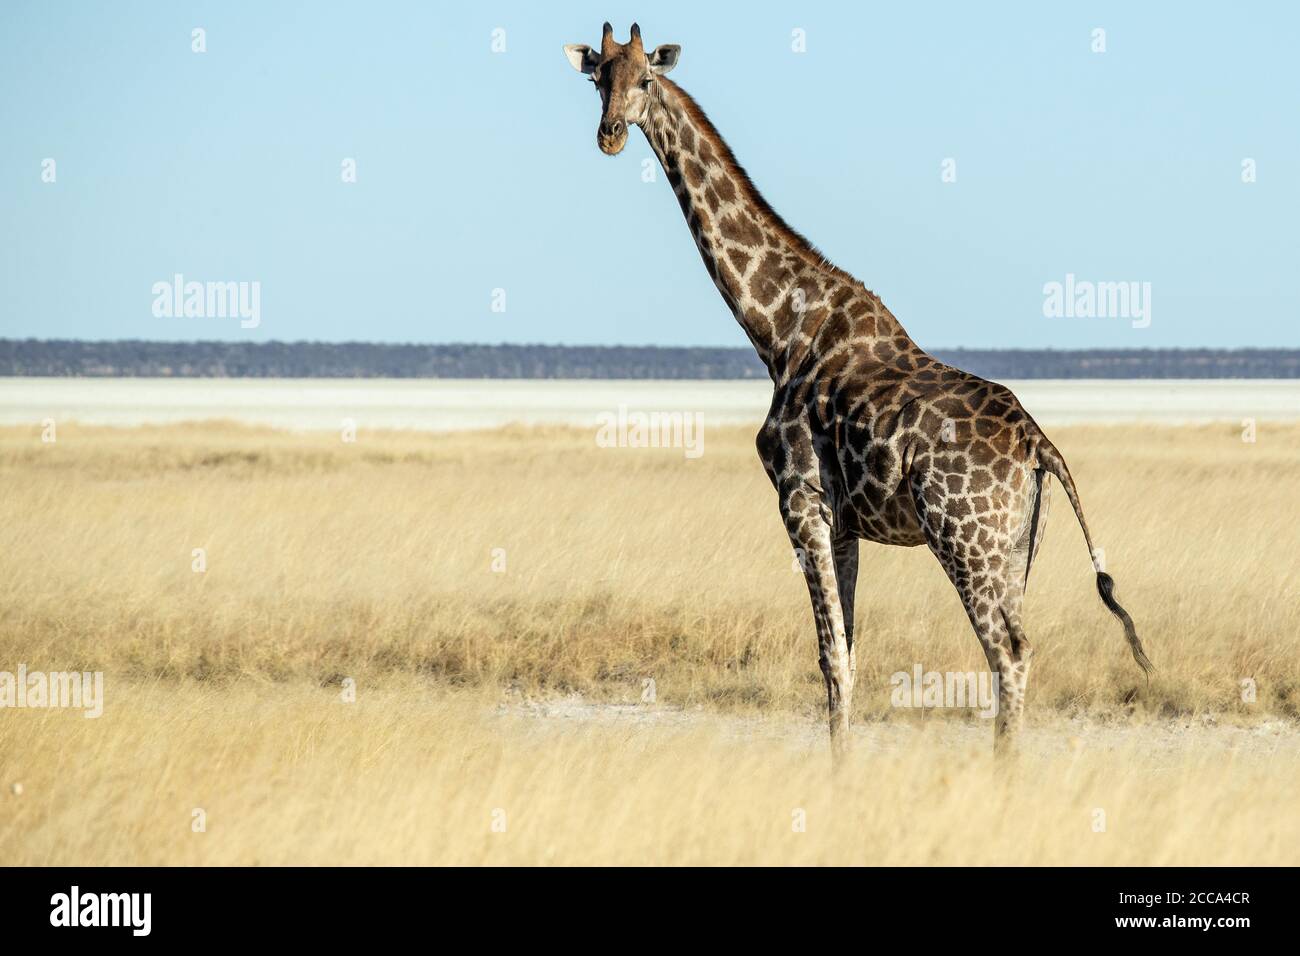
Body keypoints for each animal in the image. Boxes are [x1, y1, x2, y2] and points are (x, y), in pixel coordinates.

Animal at [564, 22, 1154, 764]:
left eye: (645, 78)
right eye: (597, 78)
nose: (610, 134)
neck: (777, 328)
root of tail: (1039, 446)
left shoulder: (800, 502)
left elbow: (830, 660)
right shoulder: (846, 522)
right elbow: (849, 654)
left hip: (966, 540)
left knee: (1009, 653)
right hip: (1019, 548)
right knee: (1017, 646)